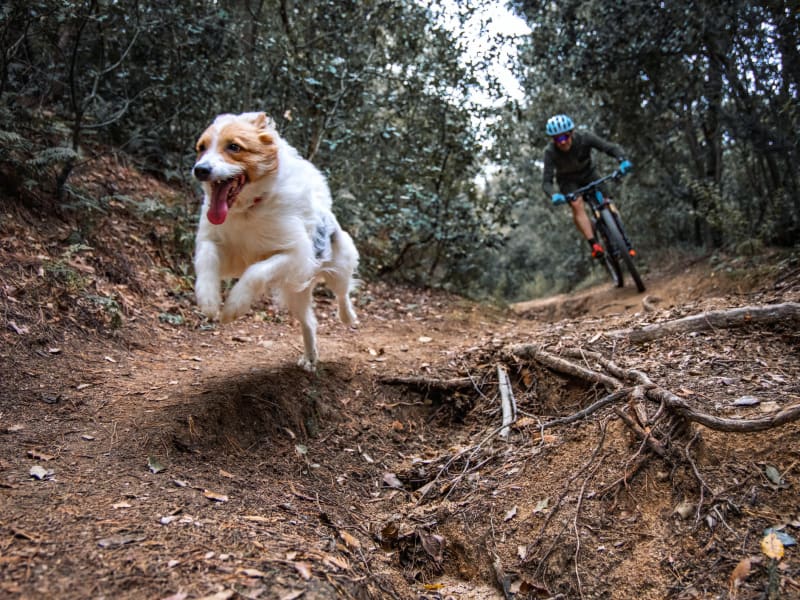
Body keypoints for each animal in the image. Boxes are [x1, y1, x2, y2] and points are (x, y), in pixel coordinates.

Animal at [192, 110, 358, 368]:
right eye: (201, 148)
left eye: (233, 147)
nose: (200, 169)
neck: (249, 210)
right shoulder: (218, 245)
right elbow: (207, 260)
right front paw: (209, 300)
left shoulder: (294, 255)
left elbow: (255, 272)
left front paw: (234, 307)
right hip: (295, 293)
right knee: (309, 322)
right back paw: (310, 358)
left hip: (338, 267)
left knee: (343, 292)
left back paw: (348, 316)